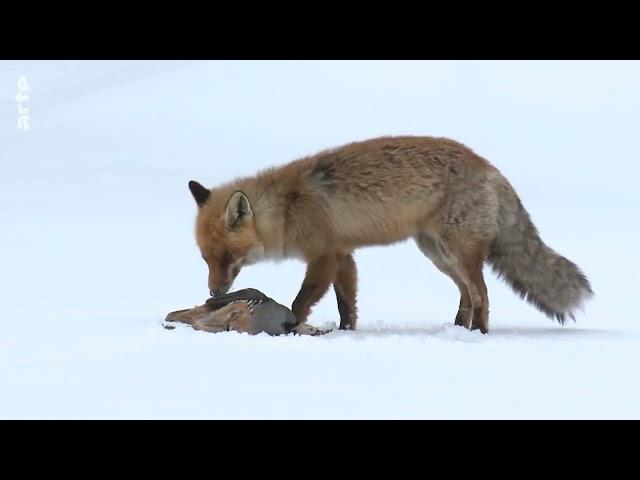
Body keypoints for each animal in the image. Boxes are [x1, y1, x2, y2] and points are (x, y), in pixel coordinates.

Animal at [188, 133, 592, 332]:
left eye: (227, 257)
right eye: (206, 258)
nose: (214, 294)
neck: (286, 208)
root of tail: (491, 168)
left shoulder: (325, 255)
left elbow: (303, 300)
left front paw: (292, 324)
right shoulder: (344, 255)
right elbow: (347, 303)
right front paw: (346, 331)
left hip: (457, 253)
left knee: (482, 295)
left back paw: (478, 335)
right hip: (438, 254)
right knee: (466, 293)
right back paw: (458, 329)